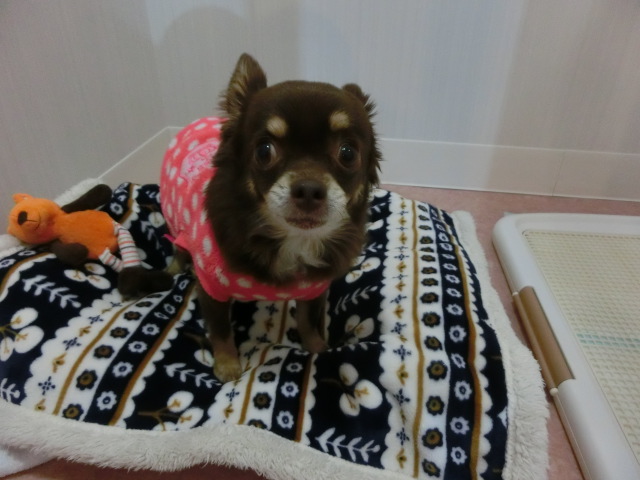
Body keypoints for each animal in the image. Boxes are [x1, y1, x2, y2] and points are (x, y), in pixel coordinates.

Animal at [160, 53, 380, 382]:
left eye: (348, 153)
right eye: (264, 151)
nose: (309, 189)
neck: (294, 241)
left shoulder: (314, 289)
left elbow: (308, 320)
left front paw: (316, 348)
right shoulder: (210, 287)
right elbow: (221, 330)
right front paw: (227, 366)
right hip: (174, 218)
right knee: (177, 245)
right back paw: (173, 268)